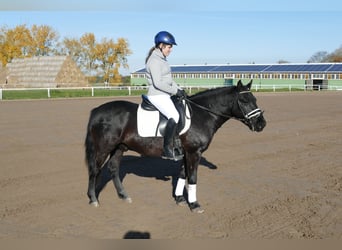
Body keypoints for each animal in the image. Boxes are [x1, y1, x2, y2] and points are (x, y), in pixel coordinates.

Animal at [85, 80, 268, 213]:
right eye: (244, 100)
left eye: (255, 99)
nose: (261, 124)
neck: (202, 114)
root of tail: (97, 110)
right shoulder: (194, 153)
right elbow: (192, 177)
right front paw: (194, 204)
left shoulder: (186, 153)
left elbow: (182, 174)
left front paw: (180, 199)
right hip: (104, 149)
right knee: (95, 170)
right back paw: (93, 199)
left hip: (119, 148)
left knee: (114, 169)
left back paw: (123, 196)